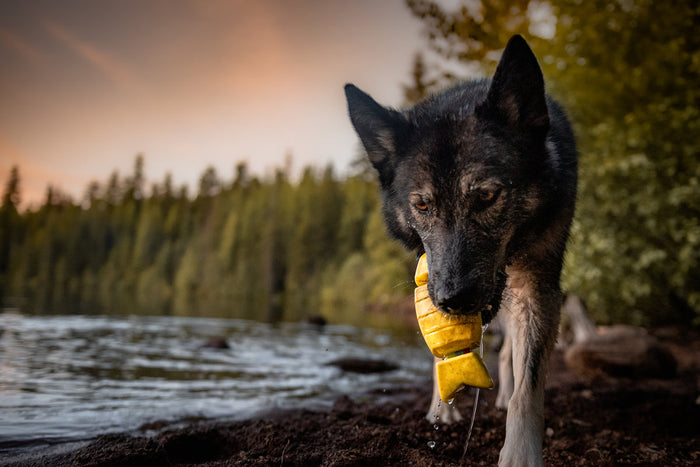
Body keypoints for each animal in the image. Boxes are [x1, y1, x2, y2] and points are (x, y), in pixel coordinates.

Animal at [345, 35, 577, 466]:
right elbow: (442, 353)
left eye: (486, 196)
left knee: (509, 352)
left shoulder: (538, 286)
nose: (454, 300)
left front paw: (520, 453)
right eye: (422, 206)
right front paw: (442, 409)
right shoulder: (429, 275)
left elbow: (528, 387)